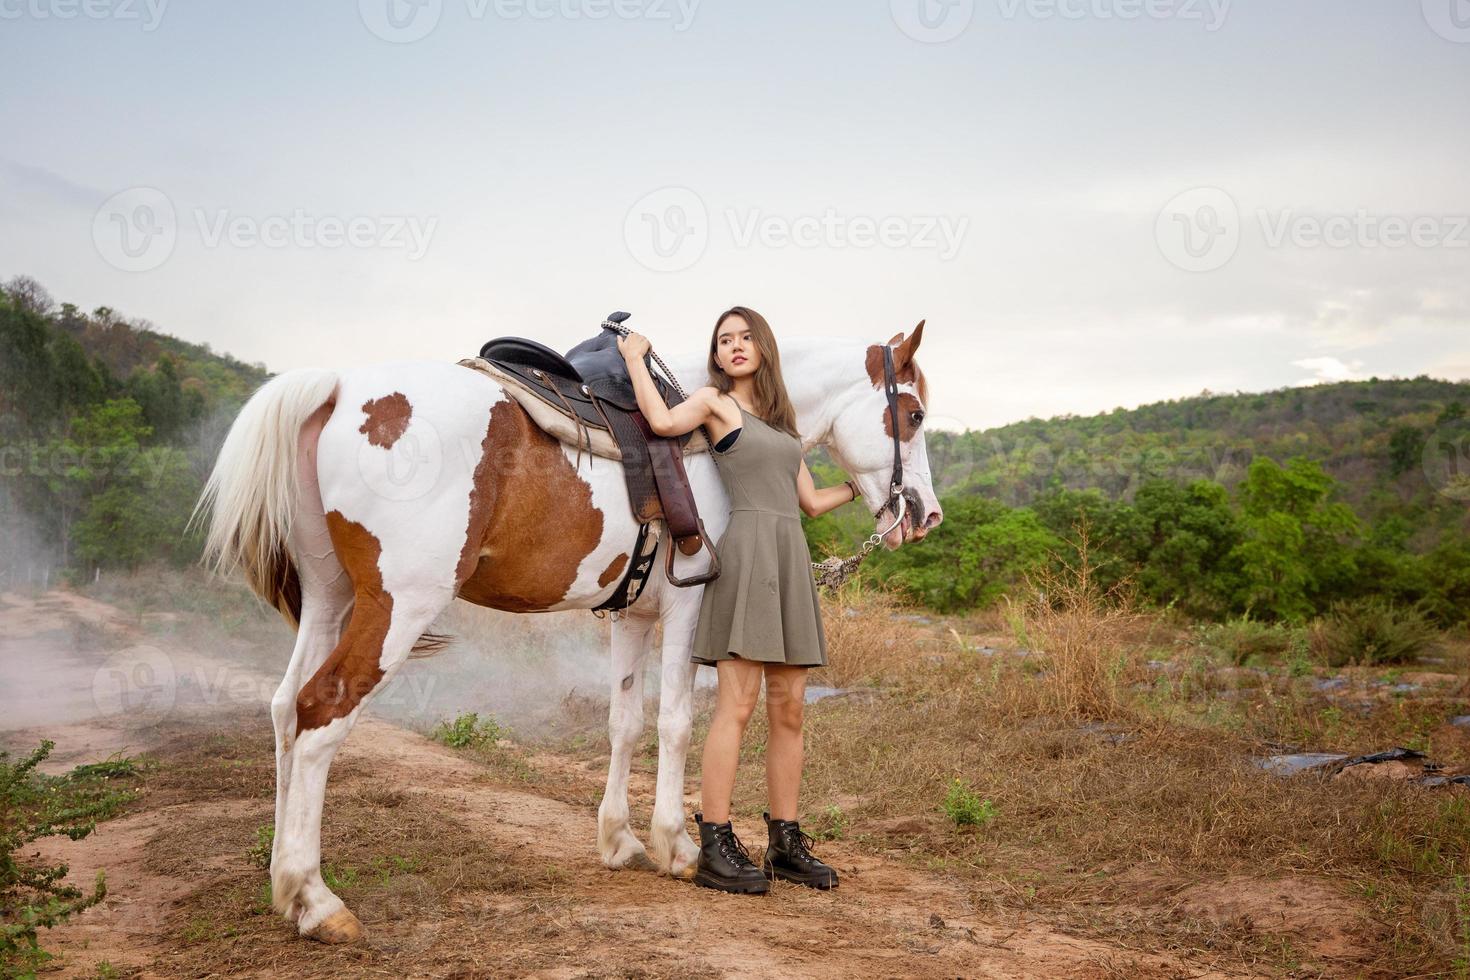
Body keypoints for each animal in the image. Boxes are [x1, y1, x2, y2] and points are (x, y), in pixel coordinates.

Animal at [192, 321, 940, 940]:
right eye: (914, 415)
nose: (925, 513)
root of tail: (339, 388)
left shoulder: (632, 617)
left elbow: (624, 722)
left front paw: (620, 842)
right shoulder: (689, 610)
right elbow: (675, 723)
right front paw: (679, 848)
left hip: (329, 599)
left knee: (285, 711)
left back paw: (283, 889)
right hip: (396, 608)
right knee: (322, 715)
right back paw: (317, 901)